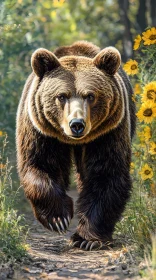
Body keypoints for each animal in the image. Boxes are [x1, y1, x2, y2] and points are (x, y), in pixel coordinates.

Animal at [15, 41, 135, 252]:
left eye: (90, 96)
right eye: (62, 96)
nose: (77, 124)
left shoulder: (107, 132)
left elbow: (106, 174)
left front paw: (88, 239)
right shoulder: (41, 130)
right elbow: (40, 164)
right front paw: (58, 219)